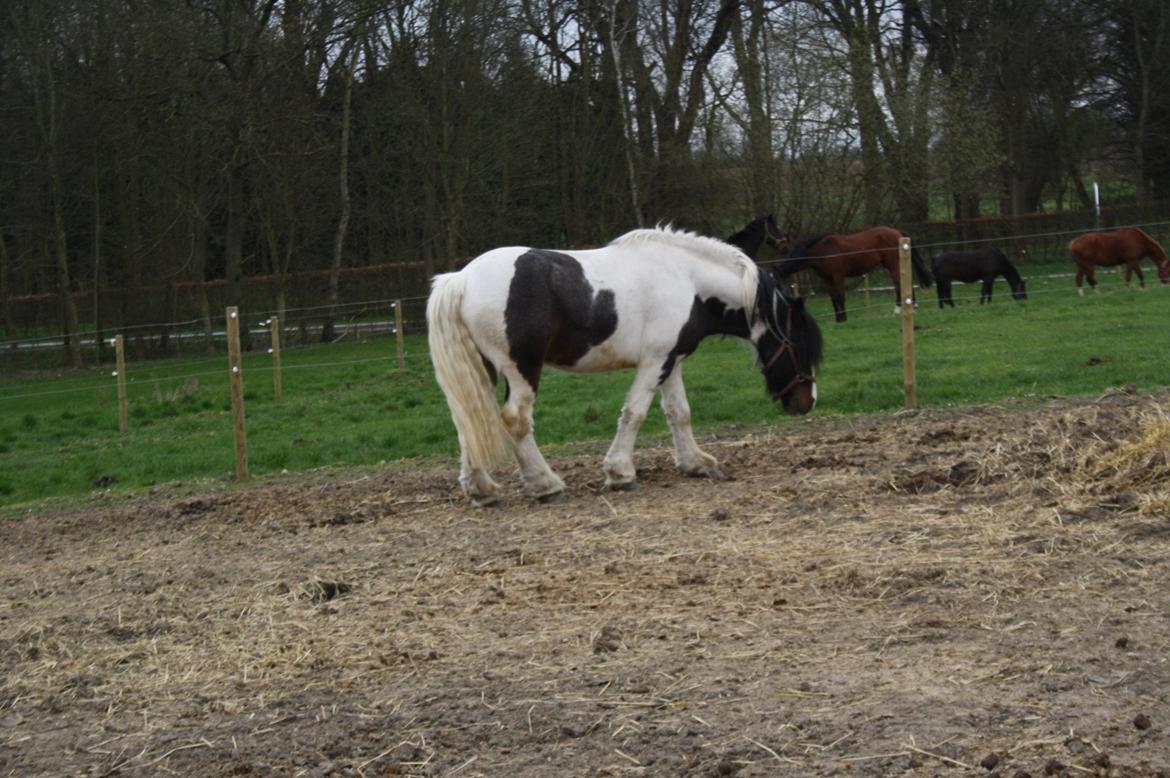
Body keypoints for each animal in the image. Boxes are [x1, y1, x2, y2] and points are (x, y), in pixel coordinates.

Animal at [423, 224, 823, 503]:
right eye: (798, 346)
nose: (807, 402)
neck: (687, 280)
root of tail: (460, 279)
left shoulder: (671, 361)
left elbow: (679, 412)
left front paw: (696, 463)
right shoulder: (654, 363)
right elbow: (635, 413)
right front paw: (620, 473)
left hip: (480, 371)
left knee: (469, 420)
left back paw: (481, 489)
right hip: (521, 371)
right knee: (515, 420)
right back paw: (546, 484)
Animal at [776, 224, 931, 320]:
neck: (821, 252)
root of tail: (897, 232)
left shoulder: (838, 277)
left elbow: (840, 297)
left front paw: (844, 318)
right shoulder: (827, 280)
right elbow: (833, 299)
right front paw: (838, 319)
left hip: (893, 265)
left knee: (899, 285)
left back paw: (901, 309)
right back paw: (911, 307)